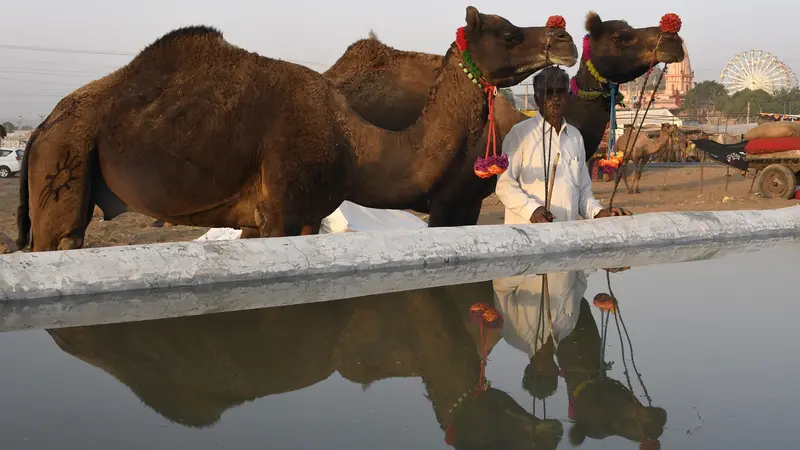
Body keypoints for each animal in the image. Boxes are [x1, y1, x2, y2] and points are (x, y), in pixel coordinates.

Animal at [12, 6, 576, 253]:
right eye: (508, 33)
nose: (564, 38)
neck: (356, 144)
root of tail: (38, 131)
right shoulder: (279, 210)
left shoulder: (302, 215)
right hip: (62, 165)